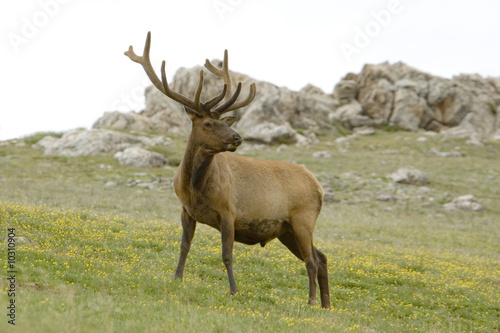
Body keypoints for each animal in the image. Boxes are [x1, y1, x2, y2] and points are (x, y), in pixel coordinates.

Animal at [124, 32, 332, 308]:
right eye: (209, 124)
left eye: (223, 121)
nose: (237, 137)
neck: (194, 188)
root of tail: (319, 187)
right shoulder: (186, 210)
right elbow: (184, 246)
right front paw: (177, 278)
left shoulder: (228, 211)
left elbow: (226, 254)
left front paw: (234, 290)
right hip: (286, 229)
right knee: (322, 257)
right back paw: (327, 305)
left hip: (303, 217)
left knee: (311, 260)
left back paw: (310, 302)